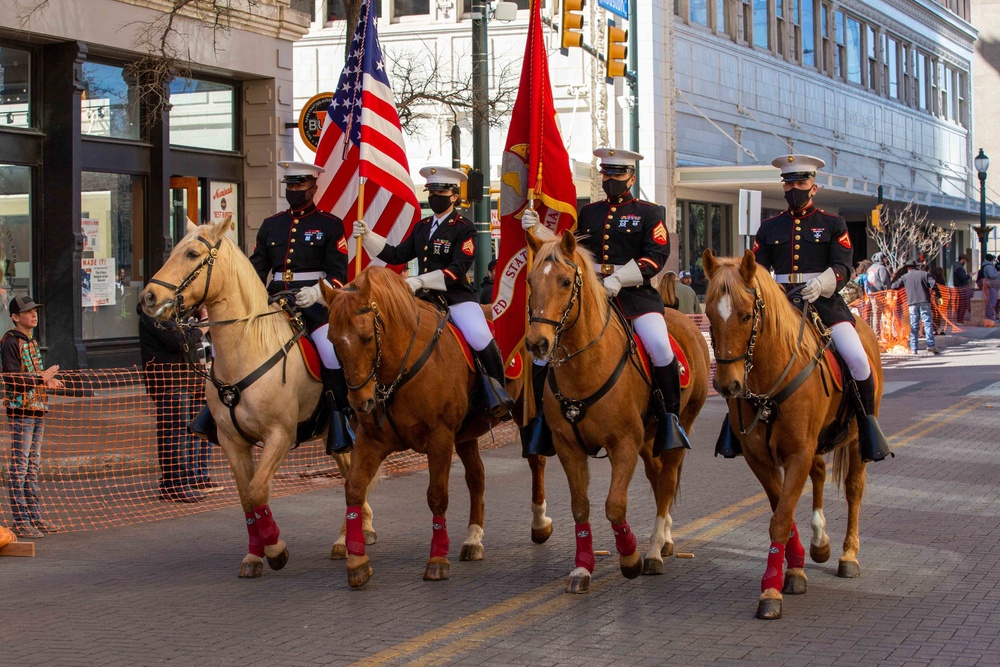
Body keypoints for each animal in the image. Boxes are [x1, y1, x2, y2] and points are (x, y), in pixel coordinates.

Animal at [140, 219, 376, 580]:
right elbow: (245, 497)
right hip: (336, 435)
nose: (149, 297)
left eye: (192, 253)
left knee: (357, 477)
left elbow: (257, 489)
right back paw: (349, 535)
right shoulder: (232, 441)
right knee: (350, 475)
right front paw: (255, 554)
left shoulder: (279, 434)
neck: (247, 348)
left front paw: (275, 549)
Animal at [322, 266, 544, 588]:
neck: (399, 368)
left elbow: (437, 495)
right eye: (331, 340)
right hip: (466, 434)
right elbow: (354, 489)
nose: (359, 402)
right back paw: (473, 538)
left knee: (536, 460)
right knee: (477, 477)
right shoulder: (370, 440)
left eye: (365, 337)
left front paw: (437, 560)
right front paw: (357, 562)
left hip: (527, 411)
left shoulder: (440, 437)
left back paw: (540, 523)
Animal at [524, 232, 712, 592]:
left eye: (565, 281)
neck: (586, 365)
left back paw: (653, 551)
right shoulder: (569, 447)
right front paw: (583, 567)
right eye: (530, 281)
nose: (537, 344)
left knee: (667, 480)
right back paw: (664, 539)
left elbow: (614, 505)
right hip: (649, 437)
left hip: (679, 426)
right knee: (656, 477)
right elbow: (580, 508)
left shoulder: (623, 442)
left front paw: (630, 557)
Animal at [704, 250, 884, 620]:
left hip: (857, 441)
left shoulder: (798, 452)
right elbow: (781, 512)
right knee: (819, 473)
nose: (727, 386)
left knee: (854, 490)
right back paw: (820, 543)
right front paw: (795, 567)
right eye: (710, 315)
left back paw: (848, 554)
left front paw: (771, 589)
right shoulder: (761, 458)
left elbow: (781, 518)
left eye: (746, 315)